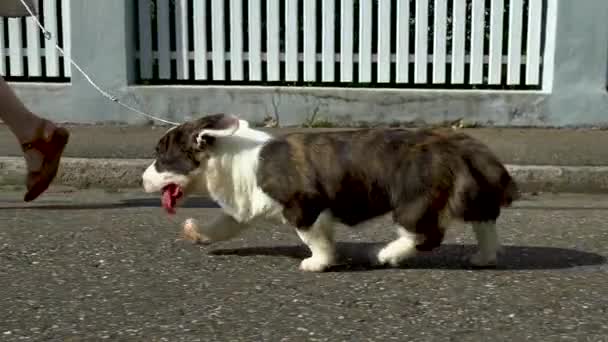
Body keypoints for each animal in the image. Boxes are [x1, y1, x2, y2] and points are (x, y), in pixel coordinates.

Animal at [142, 115, 516, 272]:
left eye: (161, 158)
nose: (143, 179)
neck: (230, 156)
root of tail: (459, 145)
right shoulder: (243, 206)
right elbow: (222, 226)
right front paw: (195, 232)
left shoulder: (304, 208)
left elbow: (316, 240)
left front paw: (317, 263)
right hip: (471, 196)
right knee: (485, 223)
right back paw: (485, 257)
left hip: (415, 200)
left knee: (425, 235)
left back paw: (386, 255)